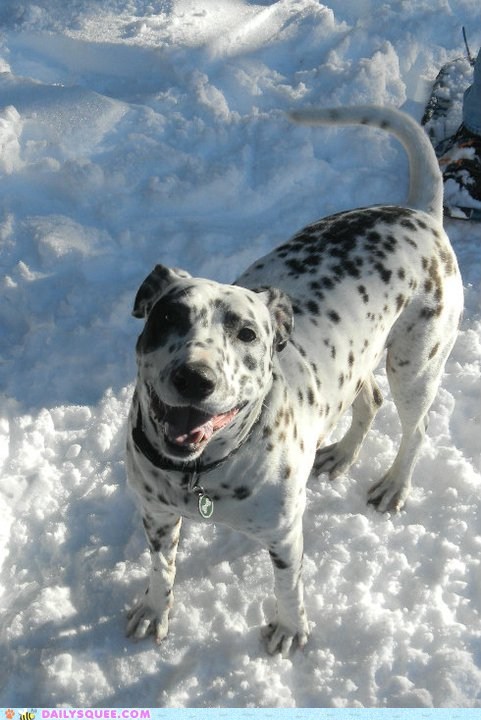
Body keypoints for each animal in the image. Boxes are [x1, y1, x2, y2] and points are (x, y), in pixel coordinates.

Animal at [125, 105, 463, 656]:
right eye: (169, 316)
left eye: (246, 332)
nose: (194, 377)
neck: (202, 472)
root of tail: (420, 213)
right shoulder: (156, 516)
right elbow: (162, 567)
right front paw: (155, 610)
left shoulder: (284, 535)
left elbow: (289, 585)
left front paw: (289, 628)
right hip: (360, 363)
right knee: (370, 400)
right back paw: (341, 453)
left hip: (416, 365)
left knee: (417, 428)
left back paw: (393, 485)